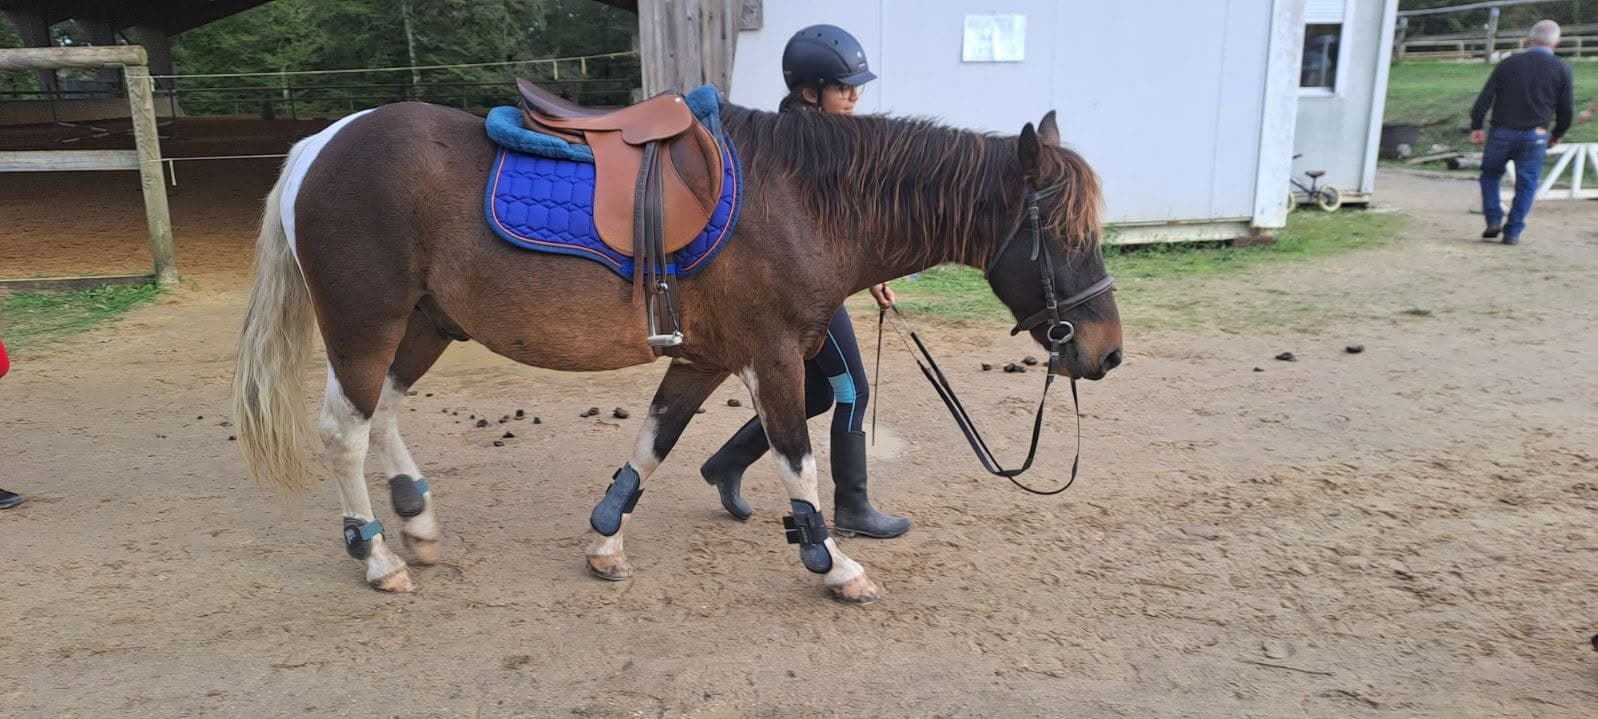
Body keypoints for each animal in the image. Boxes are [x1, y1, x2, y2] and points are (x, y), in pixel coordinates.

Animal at [231, 95, 1122, 605]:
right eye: (1067, 233)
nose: (1106, 351)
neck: (802, 200)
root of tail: (318, 147)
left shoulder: (702, 357)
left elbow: (652, 445)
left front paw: (605, 542)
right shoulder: (772, 354)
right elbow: (798, 463)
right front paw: (832, 563)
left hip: (424, 325)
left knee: (381, 415)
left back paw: (416, 519)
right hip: (367, 324)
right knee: (345, 431)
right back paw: (378, 555)